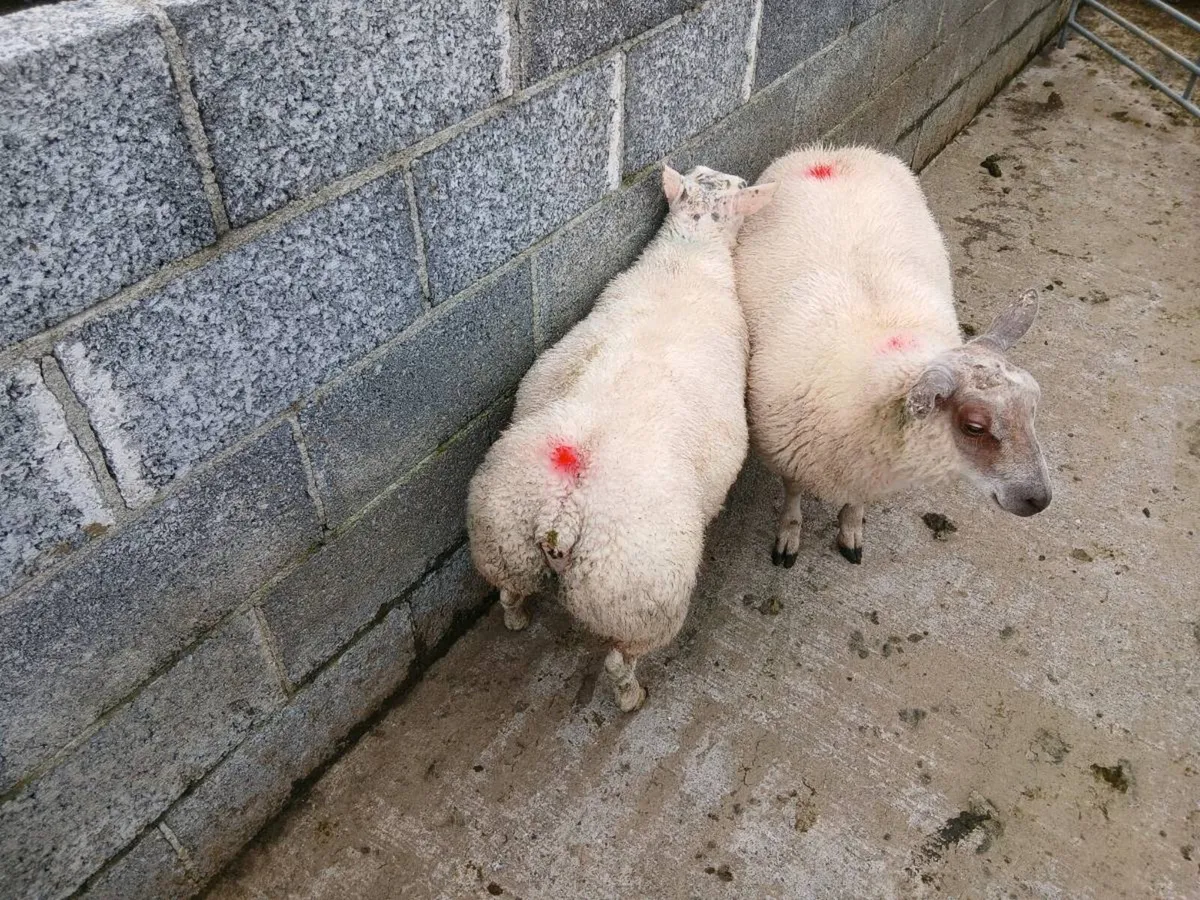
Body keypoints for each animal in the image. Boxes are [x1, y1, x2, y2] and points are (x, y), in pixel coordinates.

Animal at [467, 165, 776, 711]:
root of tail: (561, 516)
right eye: (739, 187)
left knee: (507, 590)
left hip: (501, 537)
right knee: (619, 658)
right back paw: (632, 696)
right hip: (635, 596)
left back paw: (518, 619)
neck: (689, 252)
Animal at [732, 145, 1051, 568]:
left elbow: (857, 501)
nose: (1040, 499)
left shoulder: (873, 468)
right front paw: (789, 534)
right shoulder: (788, 451)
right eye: (974, 427)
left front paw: (851, 529)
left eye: (1034, 406)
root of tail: (833, 152)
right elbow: (793, 494)